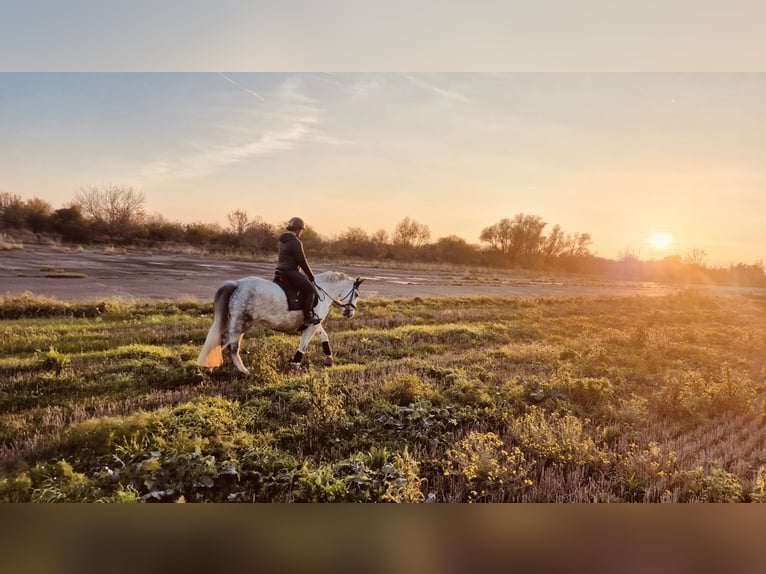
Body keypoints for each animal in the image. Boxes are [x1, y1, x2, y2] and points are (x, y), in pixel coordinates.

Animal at [197, 271, 364, 374]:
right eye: (356, 294)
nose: (349, 313)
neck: (322, 291)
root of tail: (237, 284)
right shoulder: (312, 324)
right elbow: (304, 344)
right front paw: (295, 364)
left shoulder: (315, 323)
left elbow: (324, 336)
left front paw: (329, 358)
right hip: (242, 324)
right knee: (223, 342)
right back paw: (210, 367)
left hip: (239, 324)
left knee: (232, 346)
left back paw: (243, 371)